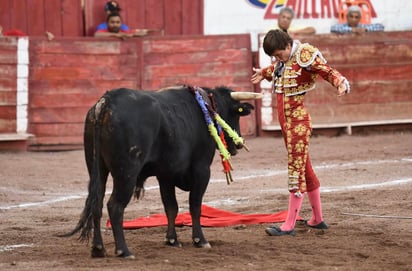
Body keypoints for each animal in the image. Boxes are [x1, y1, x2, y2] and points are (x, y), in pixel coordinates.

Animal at [61, 85, 260, 260]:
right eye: (235, 114)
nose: (238, 145)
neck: (207, 108)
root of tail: (106, 102)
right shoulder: (202, 169)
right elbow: (195, 205)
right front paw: (200, 240)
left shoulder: (166, 175)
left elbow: (171, 207)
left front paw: (172, 240)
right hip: (127, 174)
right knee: (115, 206)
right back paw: (124, 251)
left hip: (97, 169)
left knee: (97, 203)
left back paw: (98, 249)